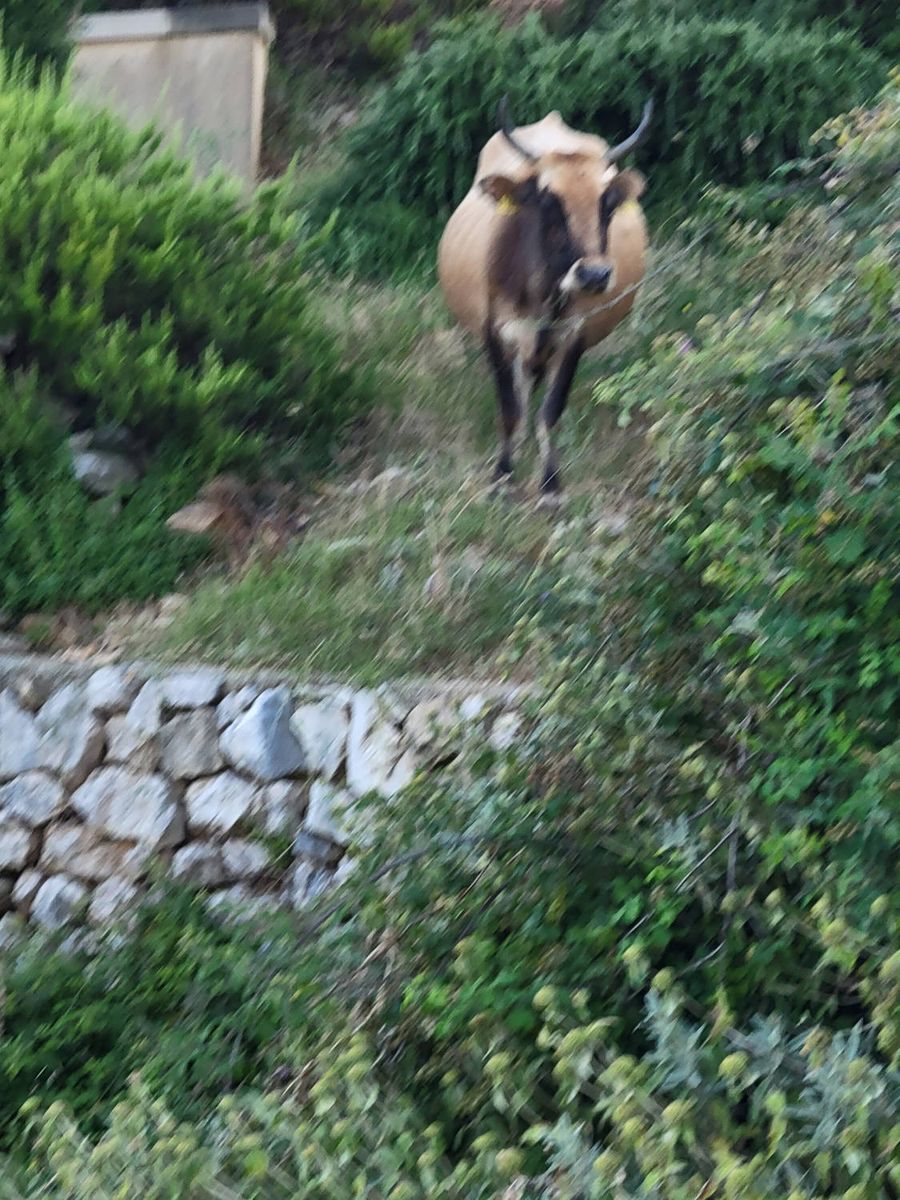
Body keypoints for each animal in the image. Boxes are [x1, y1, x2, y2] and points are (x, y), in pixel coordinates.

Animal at [437, 98, 652, 498]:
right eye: (549, 200)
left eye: (607, 202)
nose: (594, 275)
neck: (544, 295)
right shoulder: (496, 334)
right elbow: (510, 410)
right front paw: (503, 475)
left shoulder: (575, 337)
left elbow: (551, 411)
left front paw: (551, 482)